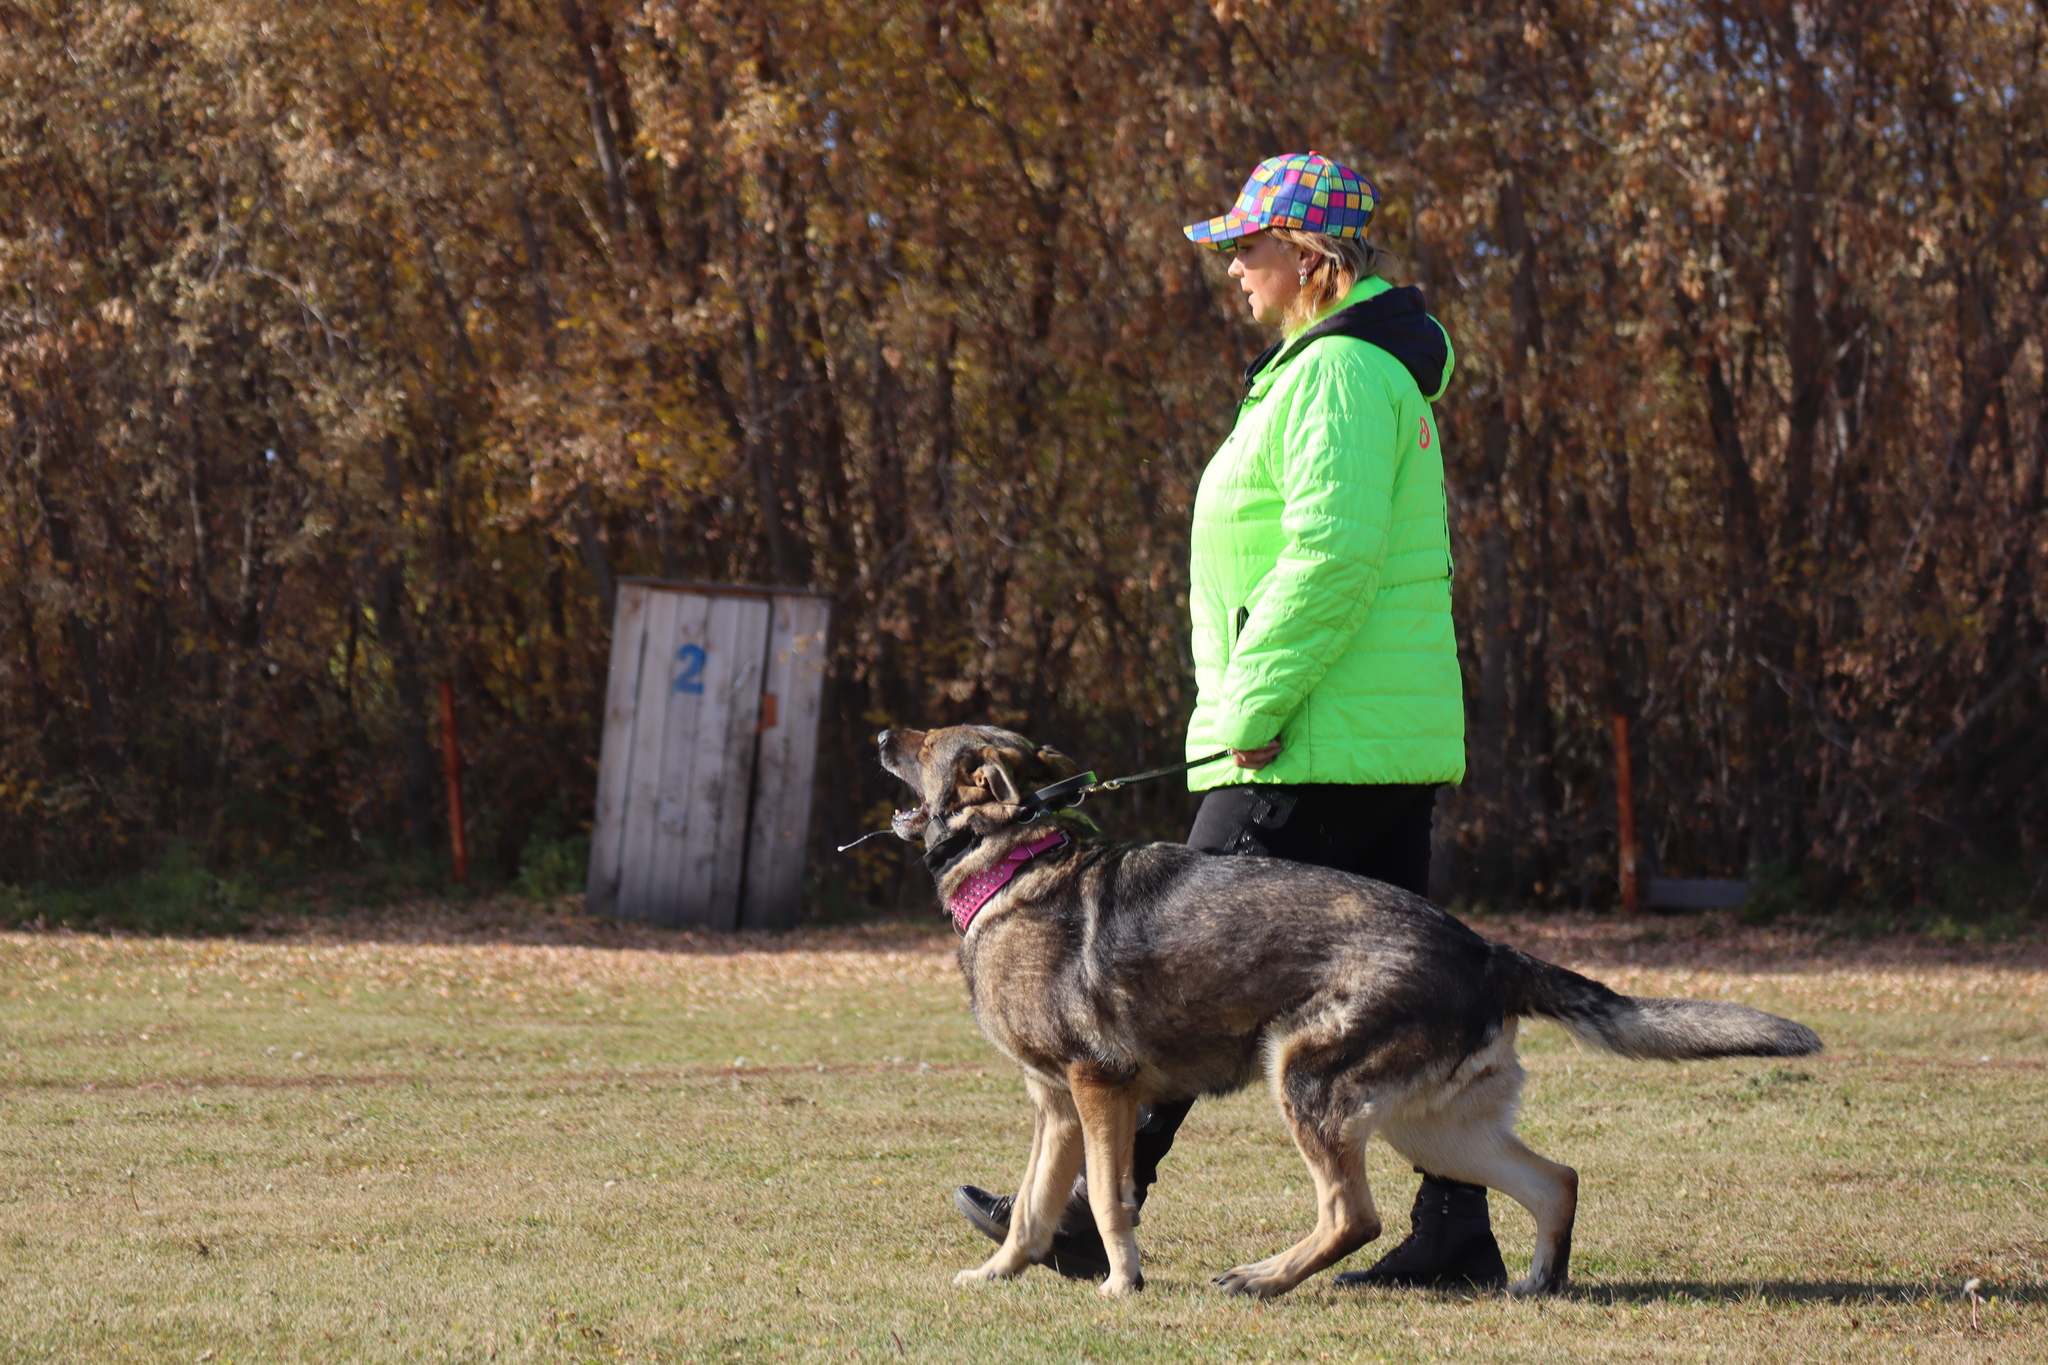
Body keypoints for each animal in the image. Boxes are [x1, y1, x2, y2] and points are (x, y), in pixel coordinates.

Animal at [880, 720, 1826, 1301]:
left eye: (929, 738)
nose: (886, 732)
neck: (1017, 862)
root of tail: (1486, 950)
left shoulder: (1098, 1088)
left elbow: (1111, 1201)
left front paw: (1121, 1283)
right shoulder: (1054, 1105)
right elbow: (1034, 1208)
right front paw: (998, 1272)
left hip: (1305, 1084)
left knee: (1354, 1215)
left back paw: (1262, 1279)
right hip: (1431, 1128)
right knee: (1554, 1179)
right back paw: (1535, 1283)